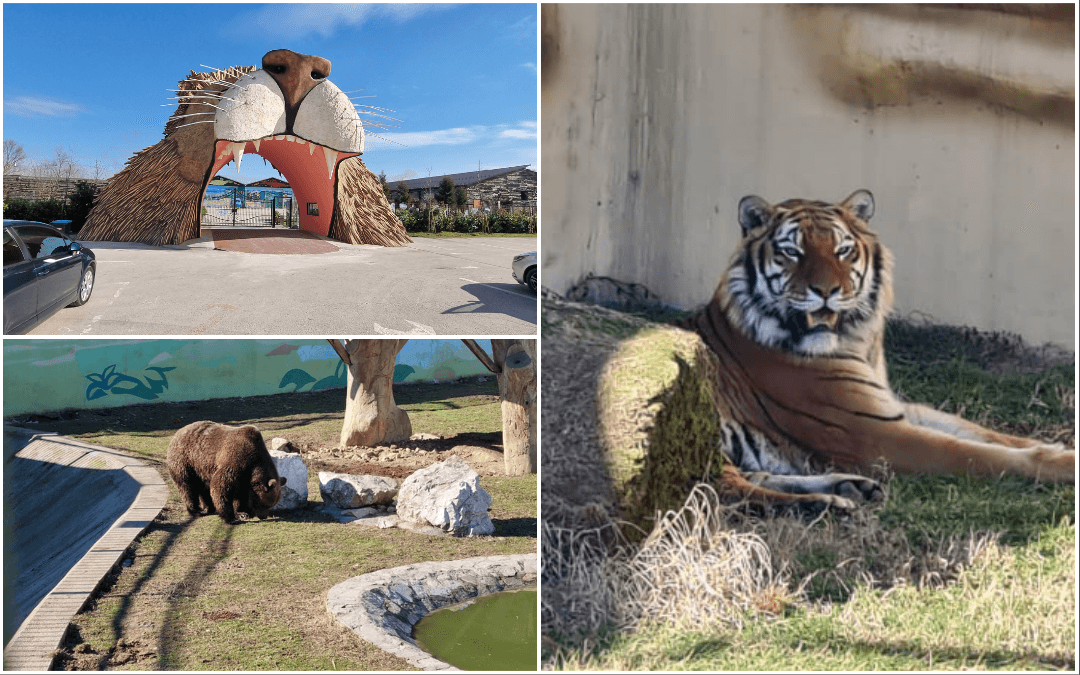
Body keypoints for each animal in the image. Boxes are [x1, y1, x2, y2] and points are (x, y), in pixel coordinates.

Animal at [678, 186, 1075, 507]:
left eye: (843, 251)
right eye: (791, 251)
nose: (826, 291)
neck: (858, 341)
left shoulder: (892, 407)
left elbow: (983, 433)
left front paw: (1055, 444)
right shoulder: (871, 433)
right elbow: (975, 452)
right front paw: (1064, 462)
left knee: (749, 476)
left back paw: (851, 488)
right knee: (727, 489)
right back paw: (824, 505)